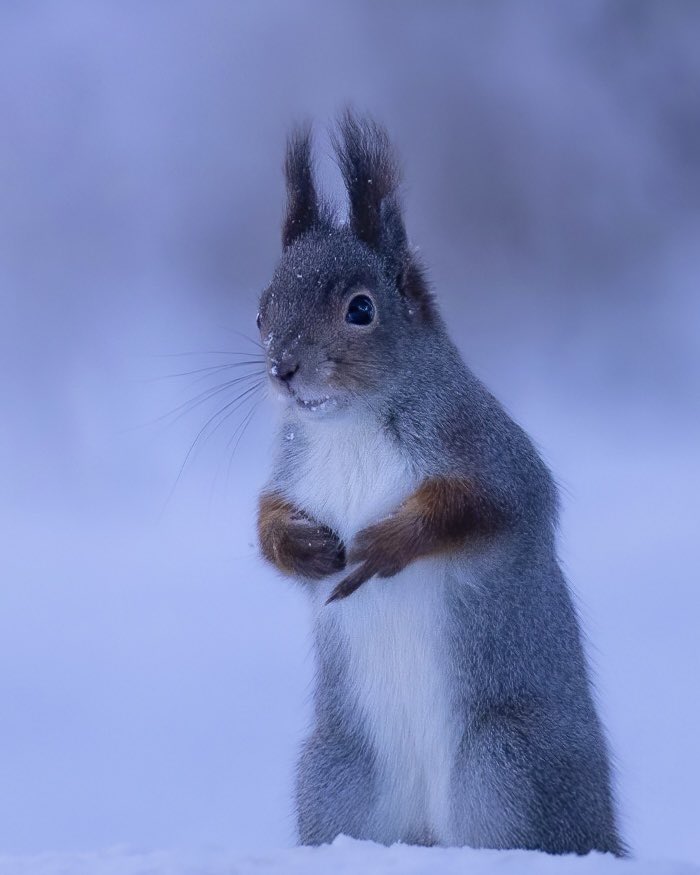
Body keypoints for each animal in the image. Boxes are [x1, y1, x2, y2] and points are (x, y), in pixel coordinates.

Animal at [253, 109, 624, 856]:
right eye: (261, 308)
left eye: (361, 310)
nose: (283, 368)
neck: (351, 424)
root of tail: (428, 834)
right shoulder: (292, 471)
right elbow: (266, 516)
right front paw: (297, 546)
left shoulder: (492, 455)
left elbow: (484, 507)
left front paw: (390, 542)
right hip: (336, 778)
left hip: (510, 767)